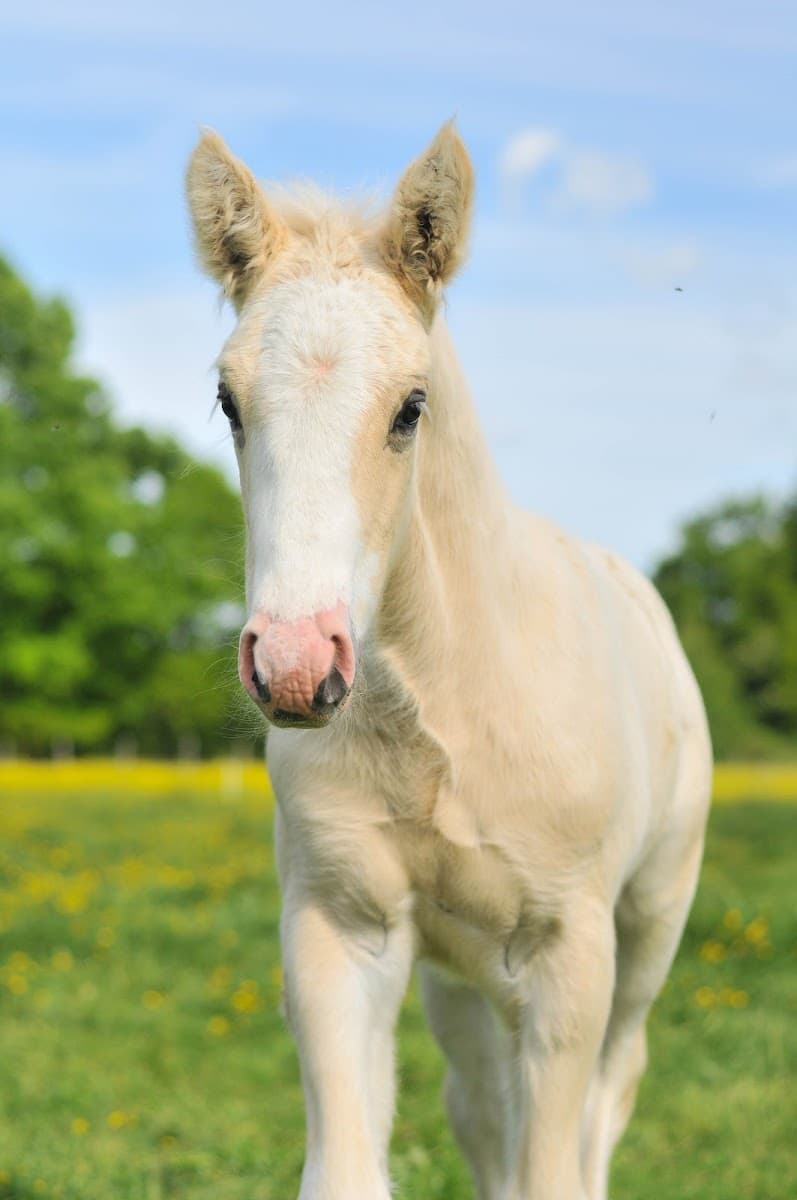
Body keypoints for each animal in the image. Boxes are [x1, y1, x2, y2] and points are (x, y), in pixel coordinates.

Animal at [186, 122, 712, 1200]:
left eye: (409, 406)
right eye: (227, 401)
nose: (295, 665)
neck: (436, 714)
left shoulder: (565, 954)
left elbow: (556, 1163)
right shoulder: (341, 930)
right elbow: (353, 1168)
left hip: (646, 927)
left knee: (605, 1103)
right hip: (459, 976)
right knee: (480, 1110)